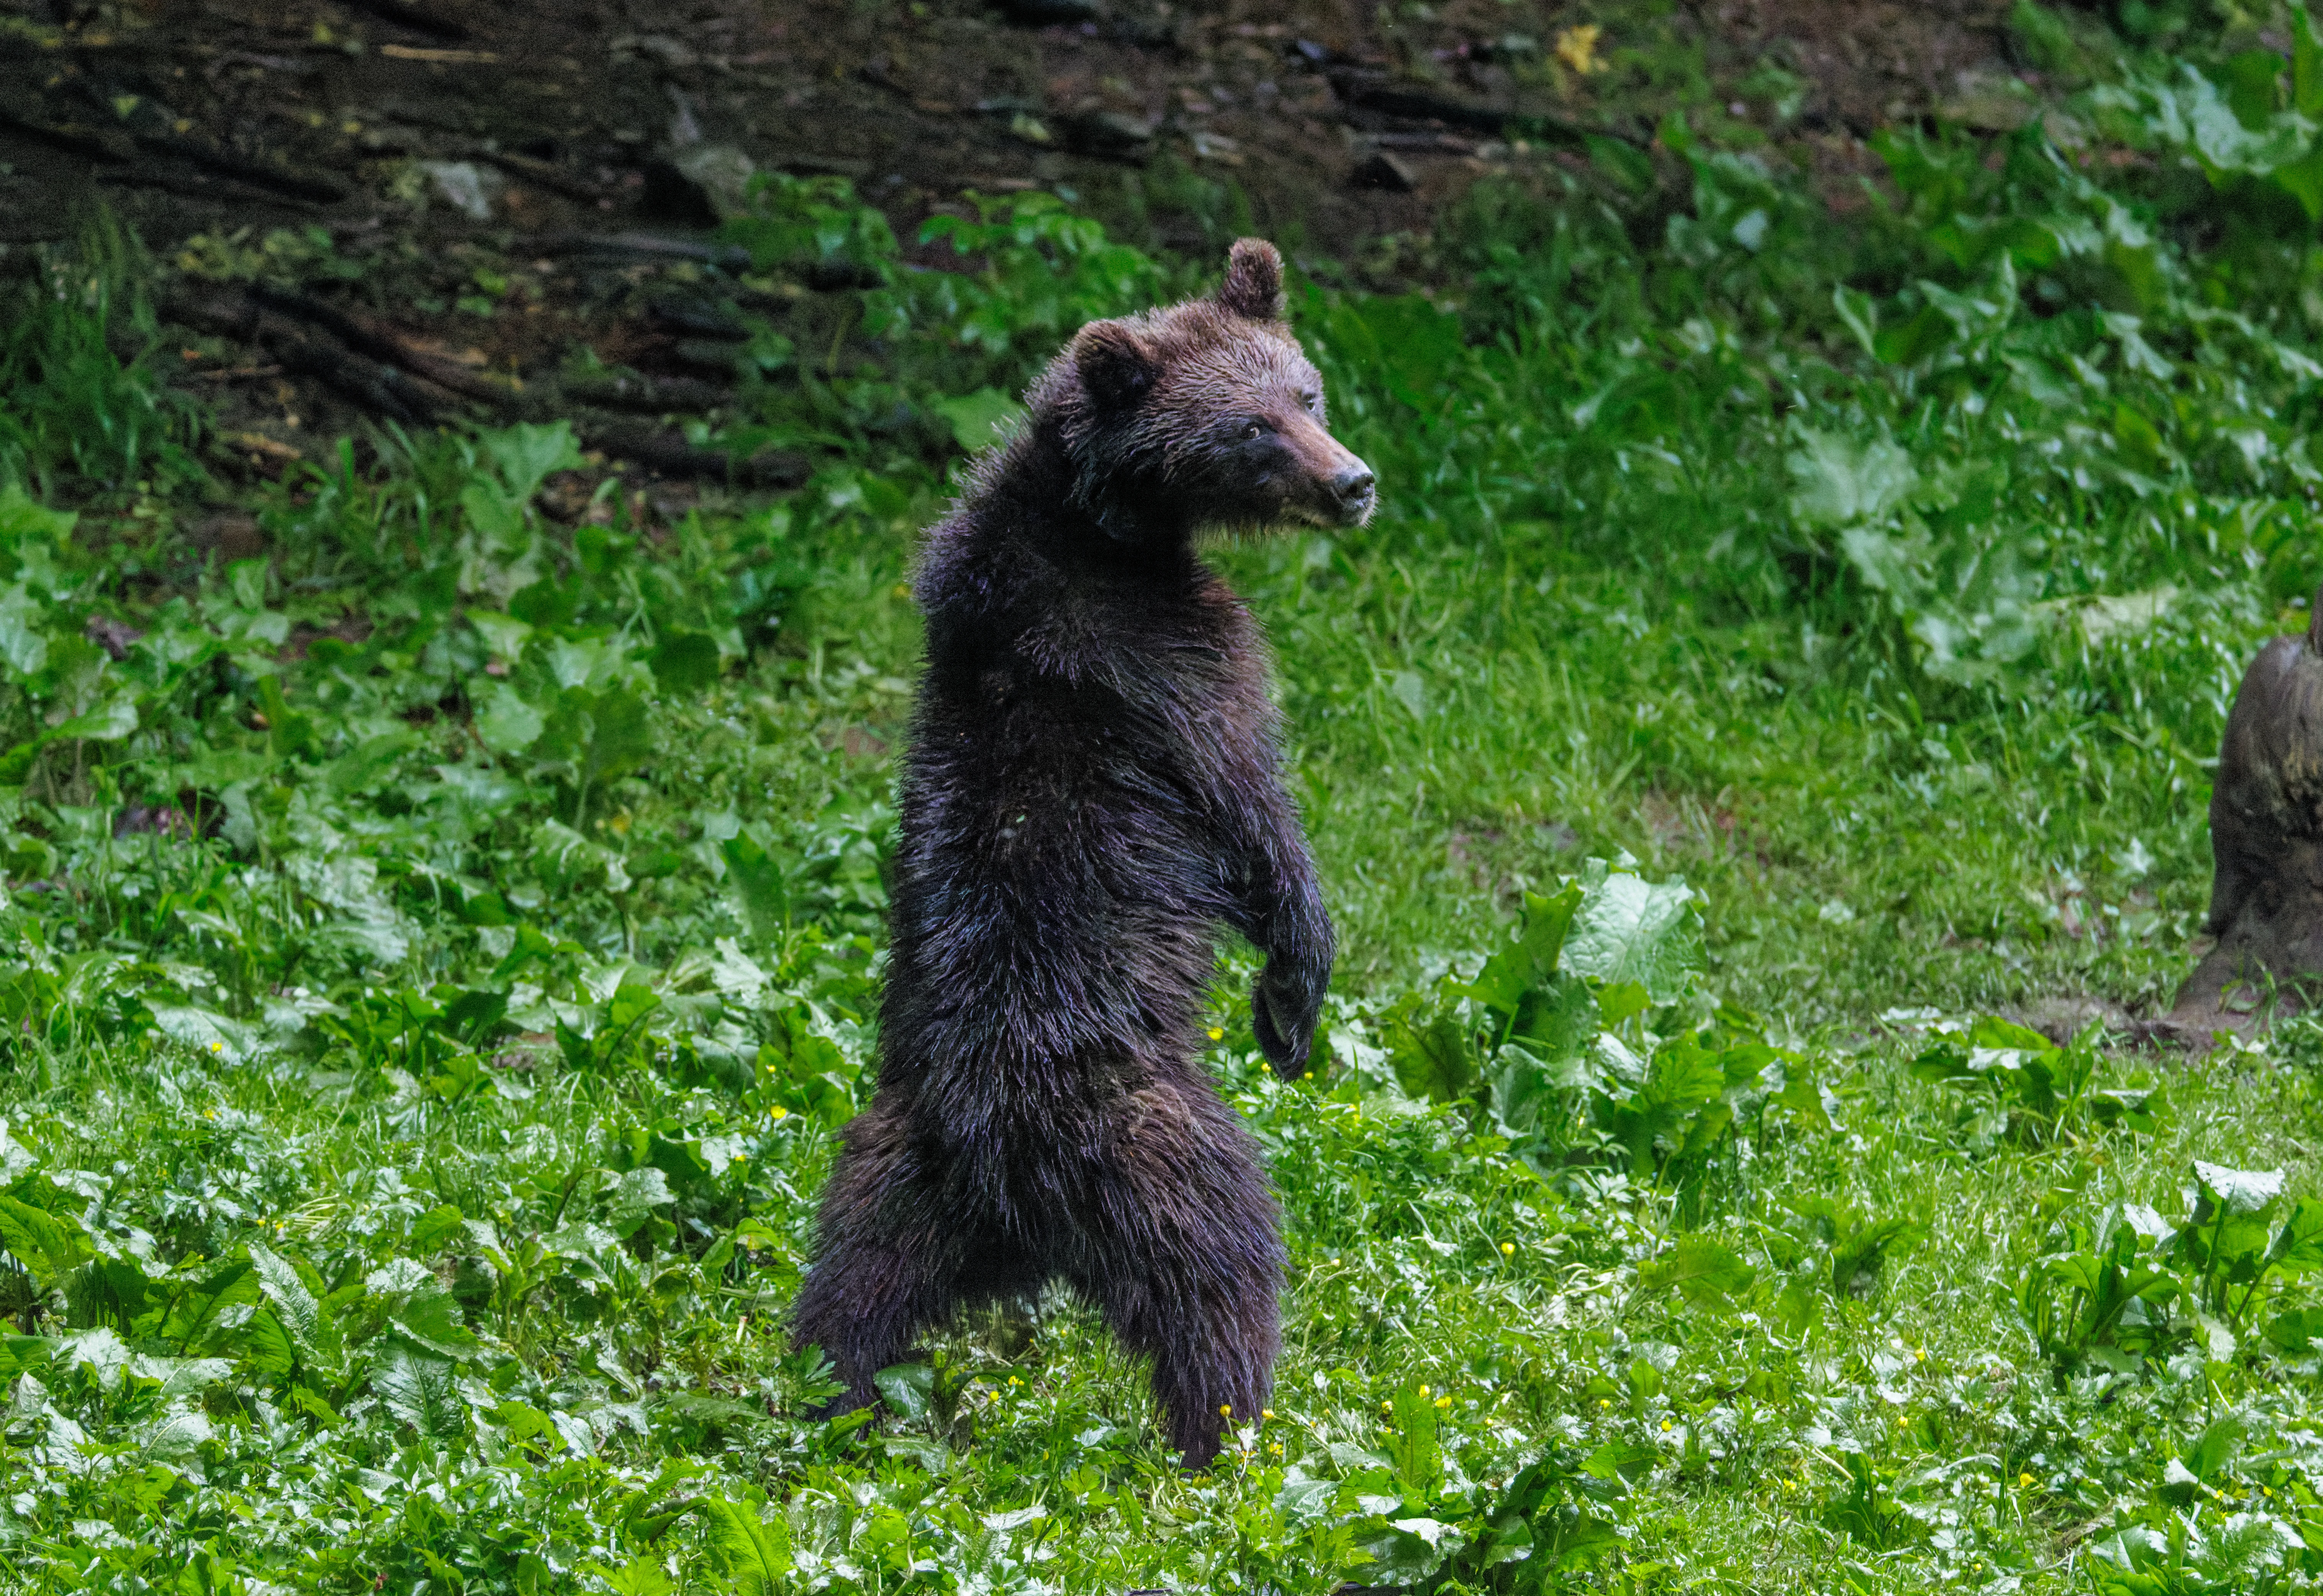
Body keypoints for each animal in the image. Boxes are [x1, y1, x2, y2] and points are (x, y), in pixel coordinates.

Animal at [789, 238, 1375, 1468]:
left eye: (1306, 393)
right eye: (1248, 427)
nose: (1353, 482)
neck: (1111, 527)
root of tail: (1010, 1188)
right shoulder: (1166, 670)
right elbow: (1257, 820)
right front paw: (1292, 1000)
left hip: (891, 1165)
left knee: (849, 1284)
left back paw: (825, 1394)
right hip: (1152, 1141)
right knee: (1221, 1267)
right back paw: (1235, 1436)